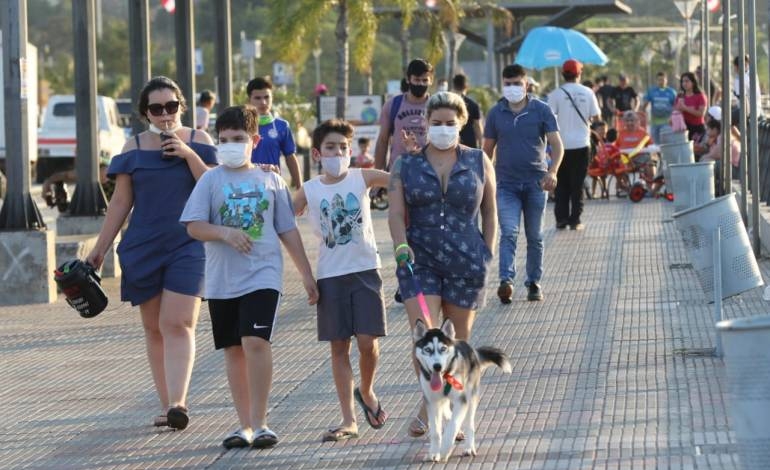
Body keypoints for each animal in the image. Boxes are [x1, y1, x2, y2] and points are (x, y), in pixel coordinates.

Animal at [412, 318, 512, 460]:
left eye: (443, 348)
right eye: (427, 349)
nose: (437, 366)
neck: (445, 377)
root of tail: (471, 349)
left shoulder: (461, 400)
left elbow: (453, 425)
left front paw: (444, 450)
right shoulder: (432, 402)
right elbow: (436, 431)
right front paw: (434, 452)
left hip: (471, 397)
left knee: (469, 424)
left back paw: (469, 448)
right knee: (447, 410)